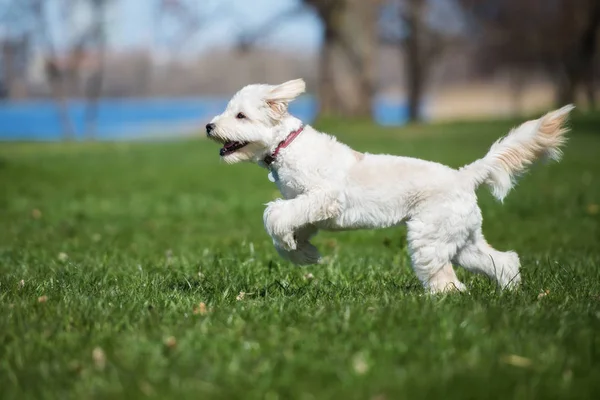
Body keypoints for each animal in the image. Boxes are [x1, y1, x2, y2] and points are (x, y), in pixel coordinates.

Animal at [207, 78, 576, 292]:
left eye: (240, 116)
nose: (209, 126)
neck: (287, 145)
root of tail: (464, 175)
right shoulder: (309, 208)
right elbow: (293, 228)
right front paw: (304, 253)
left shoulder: (323, 197)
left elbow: (275, 216)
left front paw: (294, 246)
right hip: (461, 239)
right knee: (503, 260)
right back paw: (510, 290)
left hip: (429, 238)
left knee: (447, 280)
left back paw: (442, 303)